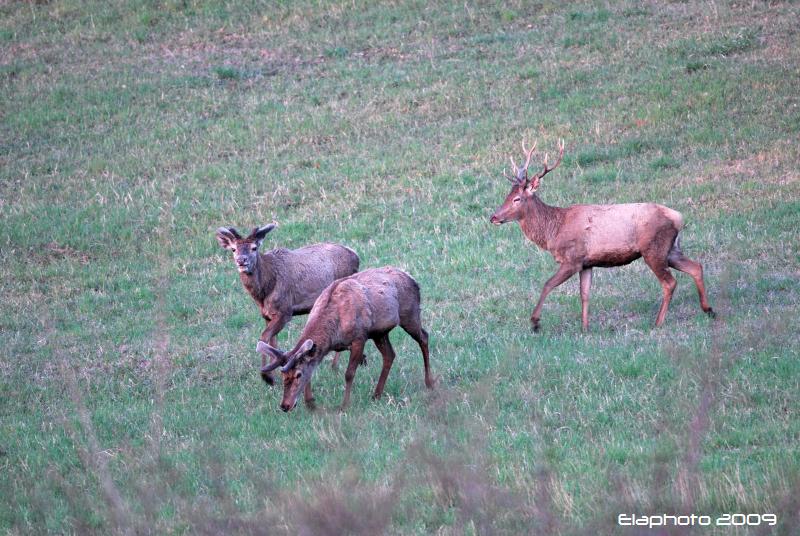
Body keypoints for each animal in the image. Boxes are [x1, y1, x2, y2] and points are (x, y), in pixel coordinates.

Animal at [216, 224, 360, 388]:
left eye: (254, 248)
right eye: (233, 249)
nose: (241, 260)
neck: (264, 290)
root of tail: (356, 256)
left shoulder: (285, 311)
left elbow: (264, 337)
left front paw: (267, 377)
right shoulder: (266, 315)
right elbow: (272, 341)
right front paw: (273, 374)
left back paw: (335, 366)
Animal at [260, 266, 438, 412]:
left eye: (298, 374)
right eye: (283, 376)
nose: (285, 405)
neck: (333, 333)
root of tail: (414, 280)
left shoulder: (359, 337)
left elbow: (349, 373)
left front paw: (344, 405)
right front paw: (310, 402)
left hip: (409, 314)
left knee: (424, 337)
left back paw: (429, 382)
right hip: (380, 333)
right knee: (390, 354)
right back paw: (376, 394)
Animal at [490, 138, 716, 330]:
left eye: (517, 199)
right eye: (507, 195)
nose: (493, 217)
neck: (553, 230)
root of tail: (678, 217)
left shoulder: (572, 259)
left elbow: (547, 284)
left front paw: (535, 322)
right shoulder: (586, 263)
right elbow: (584, 294)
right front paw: (585, 329)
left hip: (653, 248)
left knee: (670, 282)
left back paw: (658, 322)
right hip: (671, 249)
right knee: (696, 267)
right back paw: (708, 310)